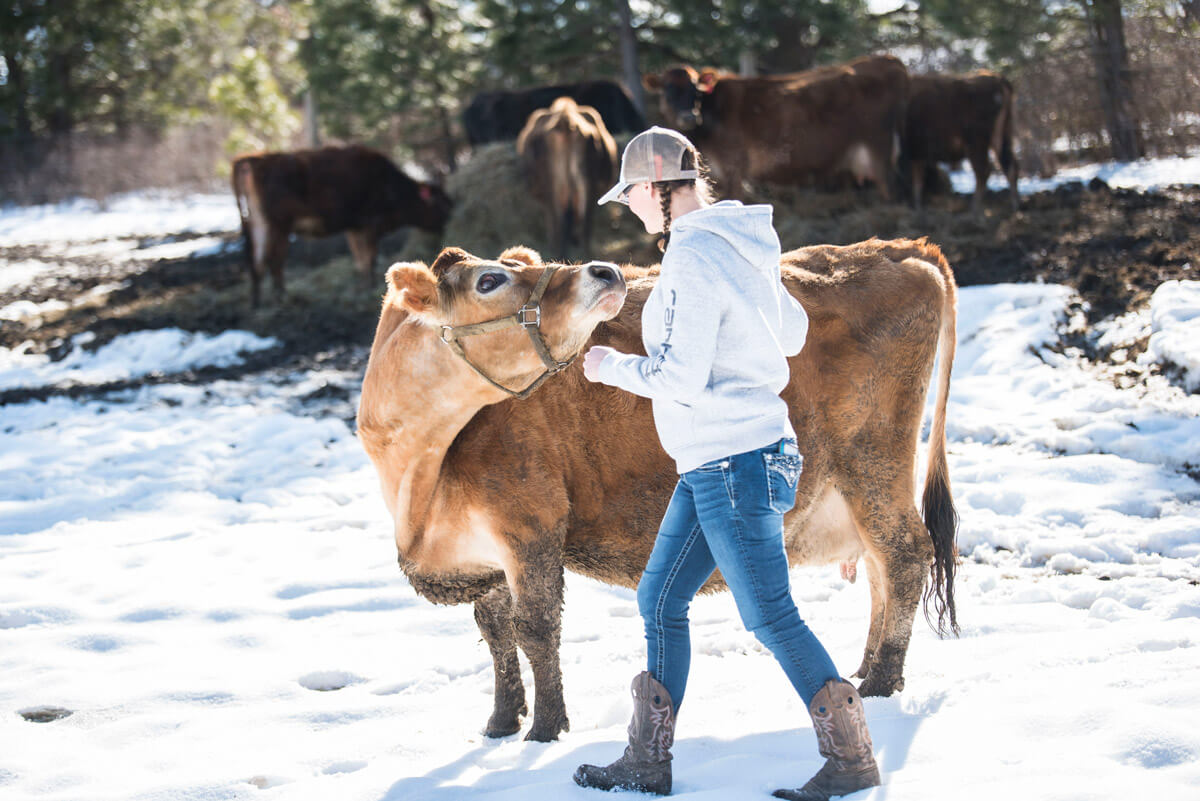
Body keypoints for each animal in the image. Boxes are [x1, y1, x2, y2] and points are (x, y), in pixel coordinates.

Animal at [229, 143, 451, 306]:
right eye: (440, 203)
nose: (447, 220)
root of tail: (254, 160)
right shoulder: (369, 224)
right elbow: (370, 257)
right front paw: (370, 287)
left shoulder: (354, 228)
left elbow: (360, 259)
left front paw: (362, 285)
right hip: (277, 225)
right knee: (274, 261)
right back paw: (280, 298)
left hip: (258, 224)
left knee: (257, 261)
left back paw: (258, 303)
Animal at [355, 239, 955, 743]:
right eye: (489, 280)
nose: (603, 269)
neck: (416, 479)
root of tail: (901, 249)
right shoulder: (480, 556)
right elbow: (496, 632)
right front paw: (501, 723)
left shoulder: (530, 527)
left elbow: (535, 630)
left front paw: (545, 730)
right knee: (878, 566)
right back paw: (863, 670)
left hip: (871, 459)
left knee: (903, 554)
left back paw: (879, 683)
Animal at [643, 56, 902, 199]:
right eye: (667, 91)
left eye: (696, 91)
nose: (688, 117)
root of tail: (889, 60)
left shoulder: (734, 167)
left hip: (880, 149)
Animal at [902, 71, 1017, 212]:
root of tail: (998, 80)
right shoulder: (917, 153)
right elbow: (918, 178)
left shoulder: (915, 151)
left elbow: (917, 179)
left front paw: (917, 206)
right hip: (1002, 136)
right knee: (1010, 166)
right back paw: (1015, 206)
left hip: (977, 143)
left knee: (983, 170)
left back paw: (974, 208)